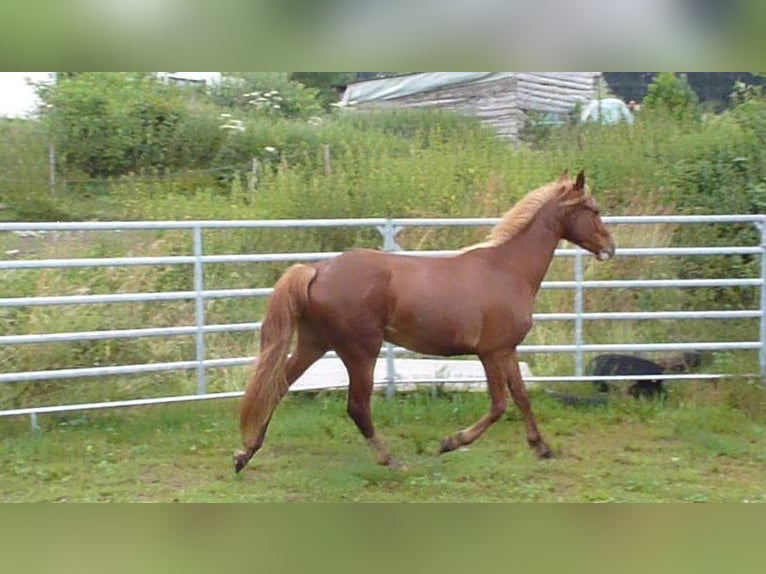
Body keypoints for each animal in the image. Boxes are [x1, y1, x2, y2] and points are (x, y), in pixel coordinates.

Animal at [233, 170, 616, 473]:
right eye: (594, 210)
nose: (610, 248)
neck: (507, 269)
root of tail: (318, 270)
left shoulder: (507, 350)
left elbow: (521, 397)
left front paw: (541, 447)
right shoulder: (492, 352)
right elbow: (499, 404)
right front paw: (450, 442)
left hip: (315, 343)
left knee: (277, 386)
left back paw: (245, 453)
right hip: (360, 352)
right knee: (357, 408)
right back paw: (390, 460)